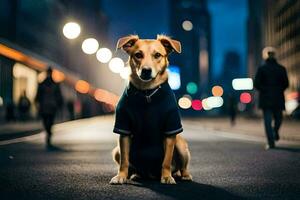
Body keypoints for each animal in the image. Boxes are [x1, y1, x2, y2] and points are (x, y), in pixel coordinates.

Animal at [110, 34, 192, 184]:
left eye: (157, 55)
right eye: (138, 55)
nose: (146, 70)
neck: (147, 92)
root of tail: (150, 174)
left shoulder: (171, 129)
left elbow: (166, 160)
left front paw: (166, 177)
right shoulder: (123, 129)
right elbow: (124, 160)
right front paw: (121, 176)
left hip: (181, 146)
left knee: (182, 167)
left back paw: (184, 175)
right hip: (116, 151)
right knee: (130, 165)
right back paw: (135, 175)